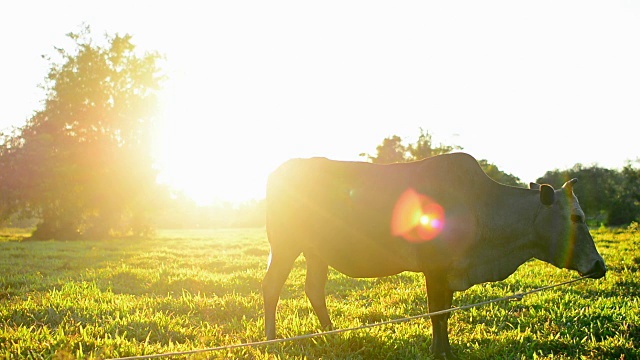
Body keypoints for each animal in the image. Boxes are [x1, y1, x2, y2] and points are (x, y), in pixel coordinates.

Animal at [260, 151, 604, 358]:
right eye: (576, 217)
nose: (599, 265)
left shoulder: (449, 272)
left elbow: (445, 313)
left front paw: (446, 350)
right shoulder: (435, 268)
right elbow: (437, 313)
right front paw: (439, 352)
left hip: (316, 252)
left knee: (314, 289)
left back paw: (331, 334)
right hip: (285, 244)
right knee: (272, 287)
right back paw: (272, 341)